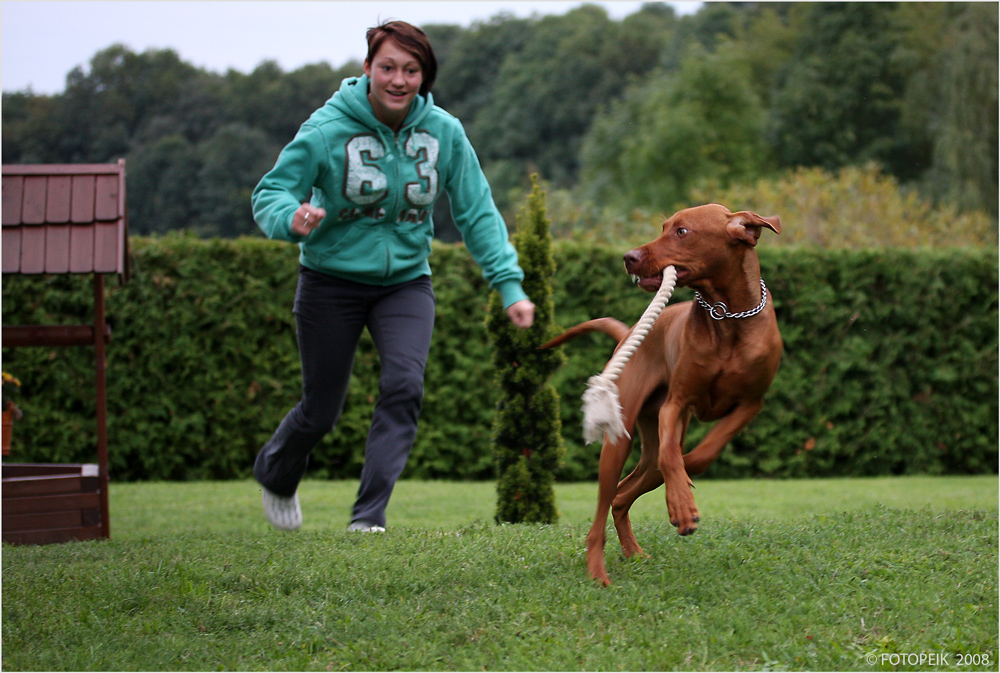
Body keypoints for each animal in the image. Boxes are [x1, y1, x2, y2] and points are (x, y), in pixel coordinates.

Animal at [548, 203, 780, 584]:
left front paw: (683, 488)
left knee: (625, 493)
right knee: (605, 506)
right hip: (619, 439)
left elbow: (703, 454)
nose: (628, 257)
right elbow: (673, 456)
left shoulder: (751, 403)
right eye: (663, 227)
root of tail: (628, 334)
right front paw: (682, 507)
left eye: (682, 231)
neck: (728, 315)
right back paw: (598, 572)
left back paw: (634, 551)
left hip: (648, 440)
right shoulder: (676, 404)